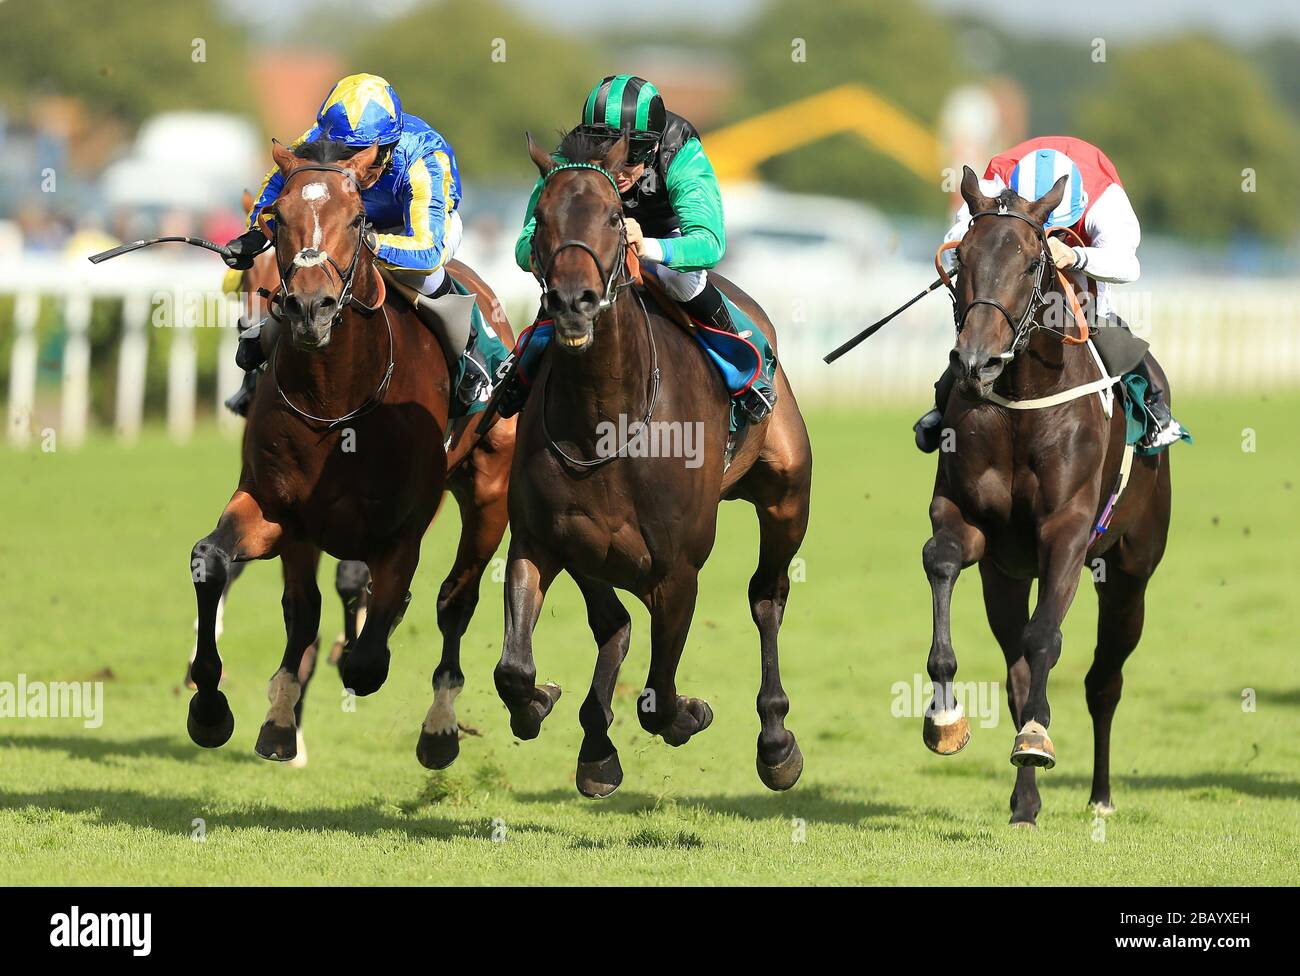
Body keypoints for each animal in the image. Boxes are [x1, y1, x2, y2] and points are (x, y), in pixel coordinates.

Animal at [188, 135, 512, 769]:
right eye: (275, 218)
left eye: (359, 218)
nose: (309, 308)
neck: (335, 396)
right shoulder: (279, 511)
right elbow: (223, 567)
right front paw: (220, 708)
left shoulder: (400, 528)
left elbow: (366, 651)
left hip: (489, 492)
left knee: (455, 599)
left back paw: (440, 727)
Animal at [496, 131, 811, 800]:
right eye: (541, 217)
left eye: (615, 218)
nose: (573, 302)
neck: (603, 417)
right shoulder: (539, 539)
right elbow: (514, 667)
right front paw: (541, 704)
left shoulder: (678, 573)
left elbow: (661, 699)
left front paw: (691, 712)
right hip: (589, 550)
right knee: (612, 622)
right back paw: (595, 746)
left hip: (786, 497)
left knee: (766, 598)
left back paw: (776, 743)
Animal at [920, 167, 1175, 826]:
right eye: (960, 256)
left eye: (1033, 260)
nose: (976, 361)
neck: (1020, 402)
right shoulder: (969, 525)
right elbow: (942, 560)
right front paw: (945, 716)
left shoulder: (1067, 530)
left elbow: (1045, 641)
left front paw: (1036, 738)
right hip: (1007, 578)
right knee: (1017, 666)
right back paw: (1025, 801)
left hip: (1131, 572)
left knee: (1102, 680)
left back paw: (1099, 793)